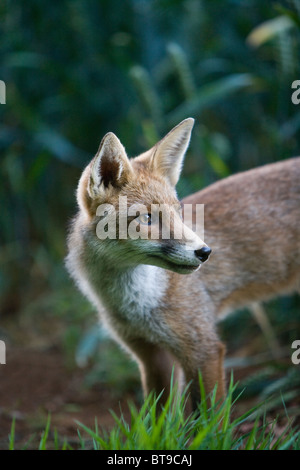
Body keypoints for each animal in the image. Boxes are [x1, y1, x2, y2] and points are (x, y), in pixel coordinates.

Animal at [65, 118, 300, 412]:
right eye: (147, 218)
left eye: (178, 213)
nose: (205, 252)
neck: (137, 303)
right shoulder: (151, 355)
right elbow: (158, 415)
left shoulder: (203, 349)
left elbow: (210, 416)